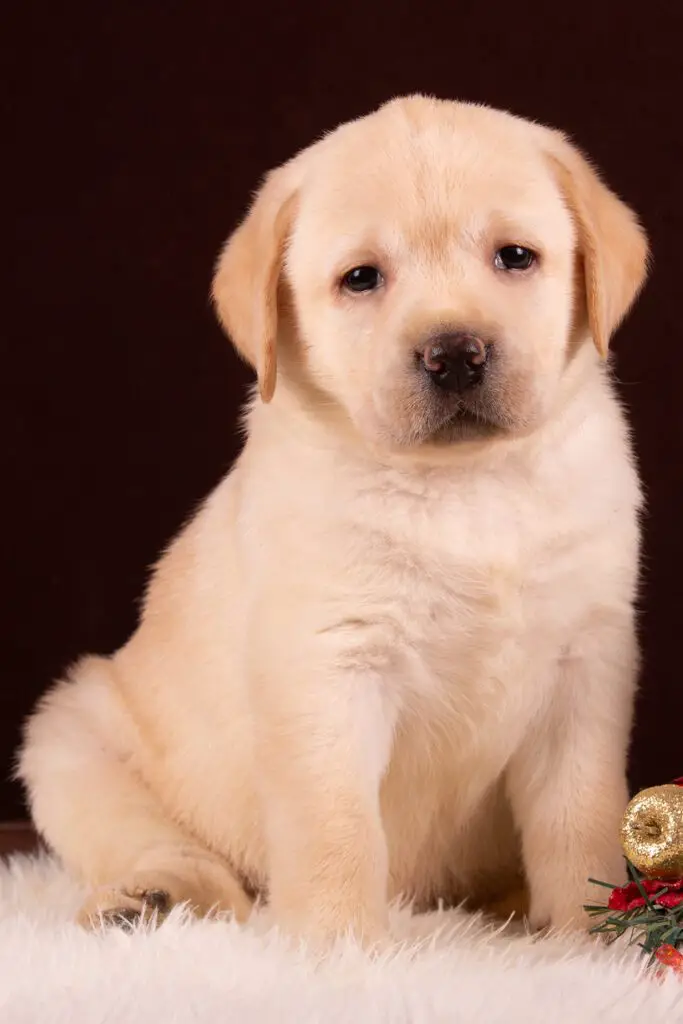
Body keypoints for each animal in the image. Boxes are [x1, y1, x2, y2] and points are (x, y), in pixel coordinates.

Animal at [17, 96, 647, 942]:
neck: (465, 485)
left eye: (514, 257)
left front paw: (592, 941)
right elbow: (335, 826)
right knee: (167, 846)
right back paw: (153, 897)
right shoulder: (325, 667)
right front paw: (341, 948)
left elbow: (579, 822)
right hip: (72, 734)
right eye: (361, 279)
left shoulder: (585, 665)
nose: (454, 353)